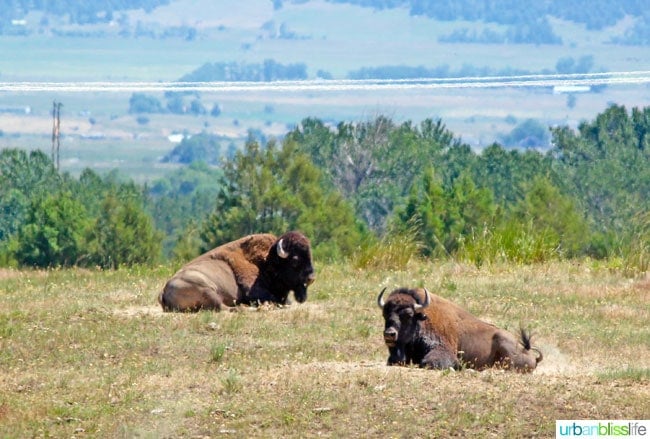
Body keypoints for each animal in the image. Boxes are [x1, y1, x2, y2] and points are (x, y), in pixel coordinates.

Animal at [161, 232, 316, 312]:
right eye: (295, 260)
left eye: (310, 255)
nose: (311, 278)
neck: (267, 262)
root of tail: (163, 291)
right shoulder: (255, 292)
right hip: (206, 288)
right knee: (223, 307)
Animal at [374, 288, 540, 372]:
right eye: (385, 314)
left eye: (408, 314)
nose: (389, 334)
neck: (422, 320)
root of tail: (529, 353)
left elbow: (427, 362)